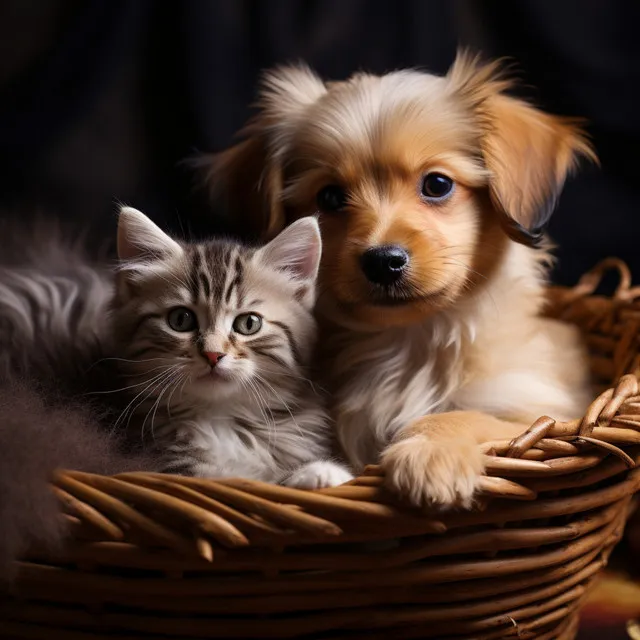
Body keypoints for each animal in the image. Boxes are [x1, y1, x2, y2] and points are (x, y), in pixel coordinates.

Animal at [110, 208, 350, 488]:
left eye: (249, 323)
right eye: (180, 320)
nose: (213, 354)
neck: (220, 420)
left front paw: (323, 472)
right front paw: (316, 473)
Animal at [204, 51, 596, 510]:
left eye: (437, 184)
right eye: (330, 197)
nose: (382, 261)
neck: (408, 343)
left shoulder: (542, 415)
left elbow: (467, 414)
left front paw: (430, 453)